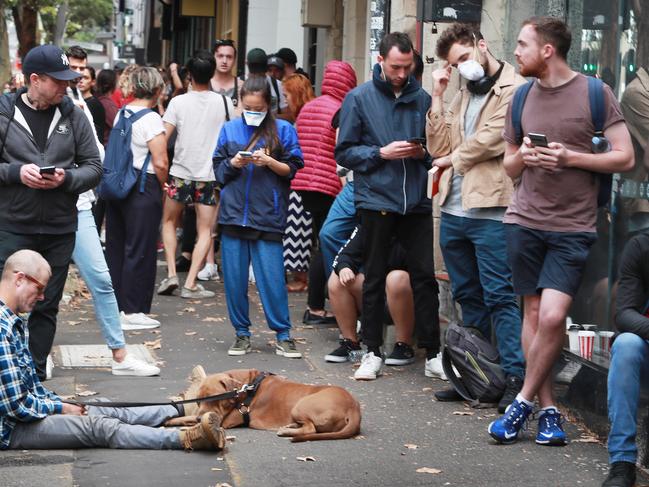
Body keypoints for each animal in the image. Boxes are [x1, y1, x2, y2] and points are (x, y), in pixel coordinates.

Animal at [165, 370, 362, 442]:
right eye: (198, 400)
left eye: (215, 399)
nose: (201, 417)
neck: (247, 386)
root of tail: (353, 407)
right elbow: (189, 416)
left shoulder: (224, 420)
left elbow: (192, 419)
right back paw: (290, 426)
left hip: (302, 405)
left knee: (311, 428)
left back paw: (287, 430)